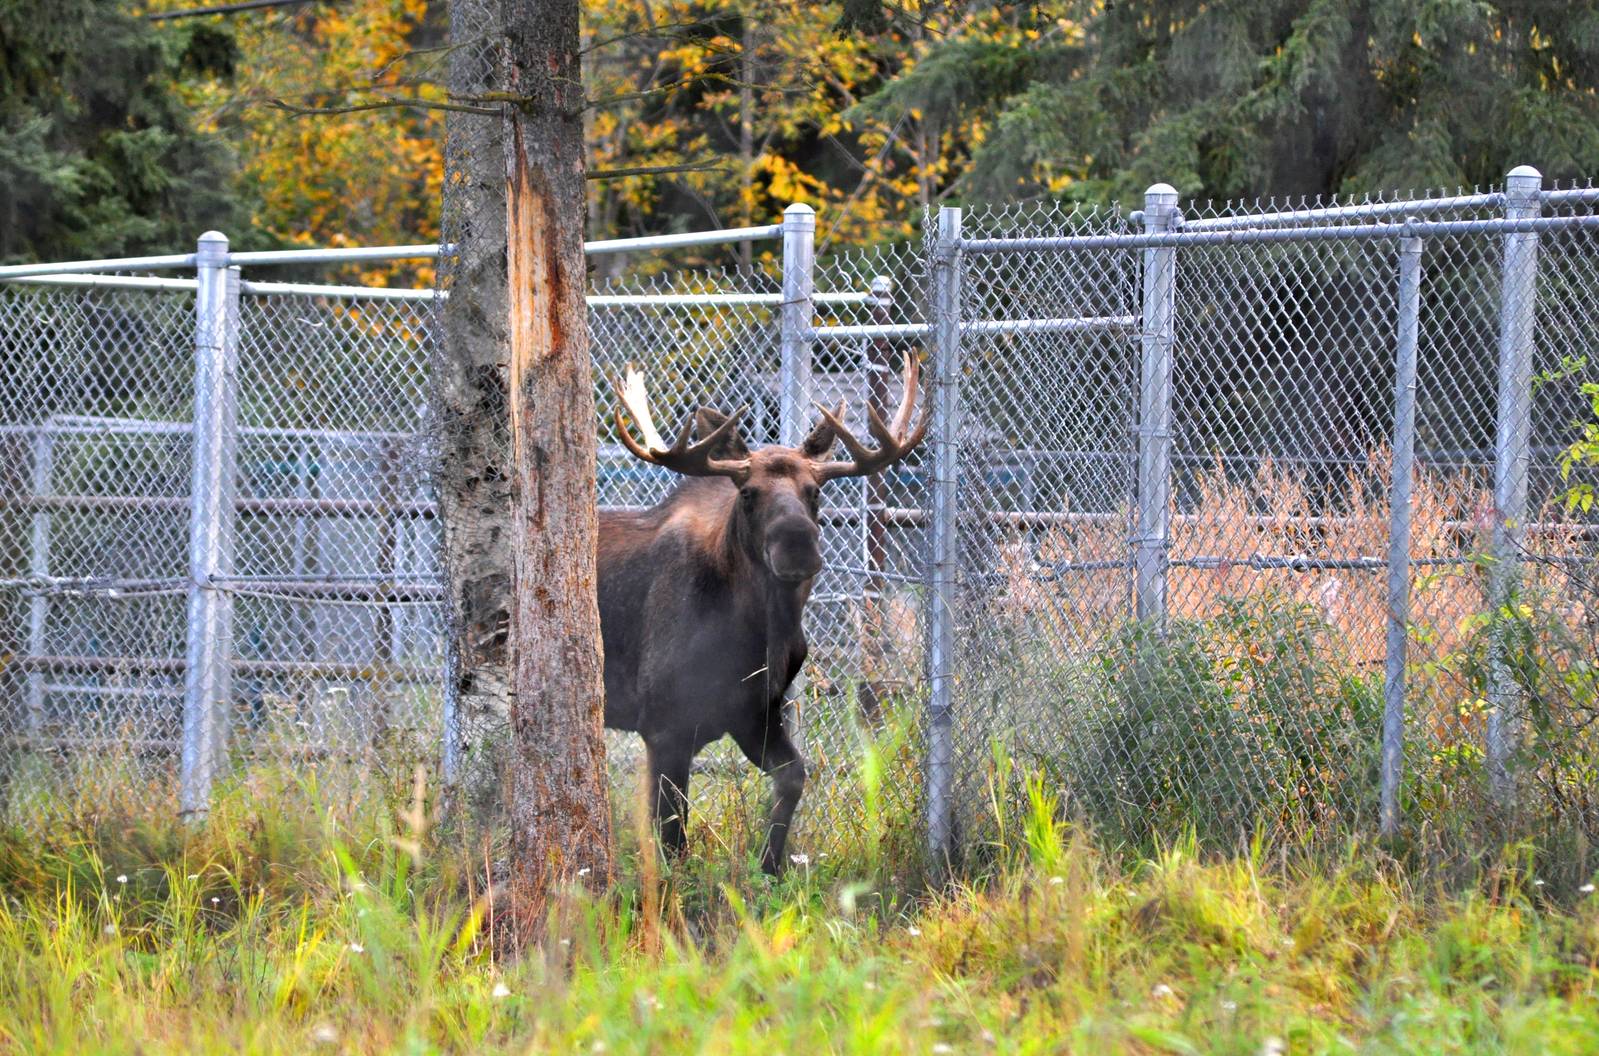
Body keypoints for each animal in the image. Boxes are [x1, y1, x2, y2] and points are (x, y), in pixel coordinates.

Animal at [597, 350, 926, 874]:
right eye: (747, 492)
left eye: (816, 490)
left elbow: (793, 777)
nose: (797, 546)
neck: (756, 634)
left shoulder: (756, 713)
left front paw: (770, 866)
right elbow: (671, 836)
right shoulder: (663, 724)